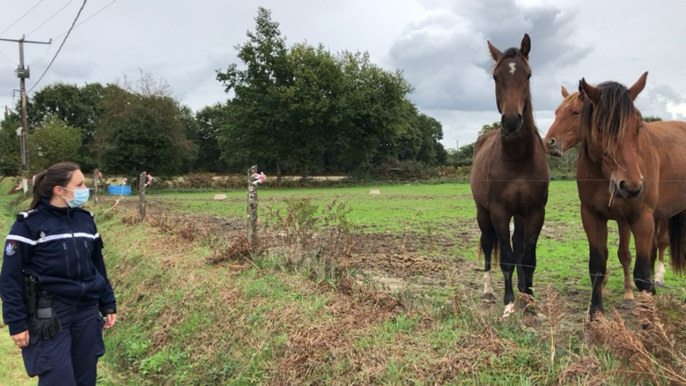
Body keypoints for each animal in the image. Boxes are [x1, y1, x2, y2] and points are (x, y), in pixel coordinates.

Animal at [470, 33, 552, 316]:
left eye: (528, 75)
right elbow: (505, 258)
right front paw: (509, 303)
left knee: (518, 248)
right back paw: (488, 292)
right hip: (483, 212)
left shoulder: (535, 212)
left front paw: (530, 300)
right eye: (496, 77)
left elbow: (527, 258)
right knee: (487, 245)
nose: (512, 121)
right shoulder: (499, 211)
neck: (518, 159)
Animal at [544, 86, 676, 304]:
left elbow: (624, 255)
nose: (549, 143)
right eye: (556, 112)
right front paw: (604, 289)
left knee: (662, 242)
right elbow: (605, 253)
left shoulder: (625, 219)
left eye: (575, 112)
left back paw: (658, 277)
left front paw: (628, 293)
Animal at [576, 73, 686, 316]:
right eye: (600, 127)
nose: (632, 186)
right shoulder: (591, 216)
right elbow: (597, 267)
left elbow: (642, 275)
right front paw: (596, 315)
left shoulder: (641, 218)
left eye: (638, 125)